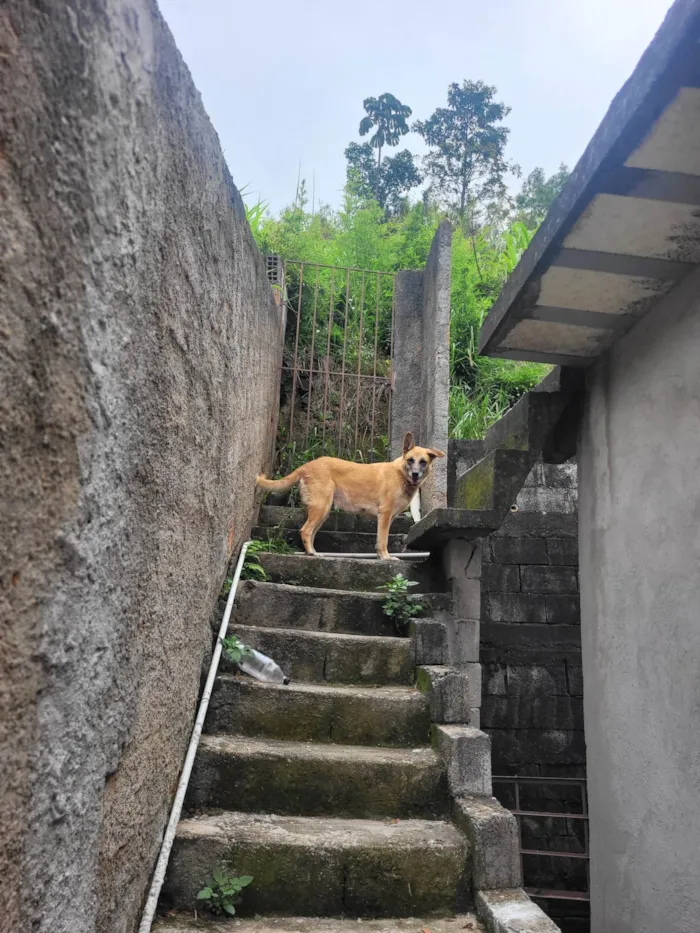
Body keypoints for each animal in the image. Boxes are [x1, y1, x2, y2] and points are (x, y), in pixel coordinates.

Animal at [256, 432, 442, 556]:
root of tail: (307, 465)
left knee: (310, 532)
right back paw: (312, 553)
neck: (401, 474)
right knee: (305, 531)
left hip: (323, 511)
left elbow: (379, 541)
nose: (415, 475)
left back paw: (313, 552)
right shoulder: (385, 515)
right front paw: (386, 558)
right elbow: (383, 541)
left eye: (423, 462)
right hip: (321, 508)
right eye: (410, 460)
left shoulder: (387, 518)